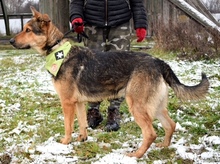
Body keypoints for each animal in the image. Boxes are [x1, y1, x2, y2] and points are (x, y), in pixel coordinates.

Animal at [9, 6, 210, 158]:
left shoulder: (67, 103)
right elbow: (82, 123)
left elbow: (68, 126)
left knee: (150, 133)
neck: (57, 50)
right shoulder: (79, 103)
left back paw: (136, 155)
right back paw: (164, 146)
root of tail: (158, 61)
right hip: (155, 105)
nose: (10, 41)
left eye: (28, 30)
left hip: (136, 105)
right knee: (170, 125)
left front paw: (65, 143)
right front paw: (82, 139)